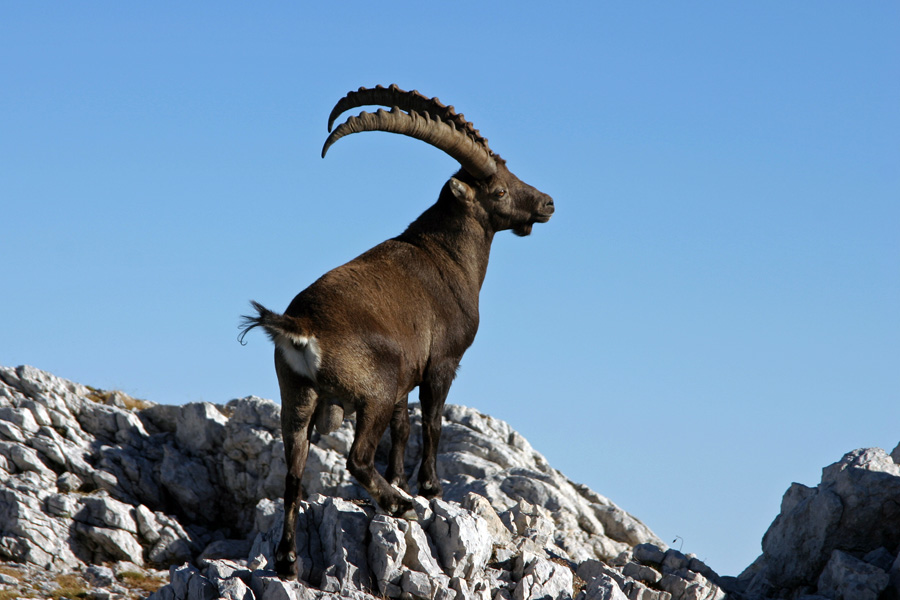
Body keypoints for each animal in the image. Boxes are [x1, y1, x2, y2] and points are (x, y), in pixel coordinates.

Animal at [239, 84, 554, 579]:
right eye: (500, 189)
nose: (546, 203)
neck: (447, 255)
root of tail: (301, 326)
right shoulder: (441, 363)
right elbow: (433, 423)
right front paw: (428, 488)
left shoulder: (408, 373)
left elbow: (404, 429)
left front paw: (401, 480)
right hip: (375, 392)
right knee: (357, 458)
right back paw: (399, 506)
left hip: (297, 397)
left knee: (292, 475)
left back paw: (288, 560)